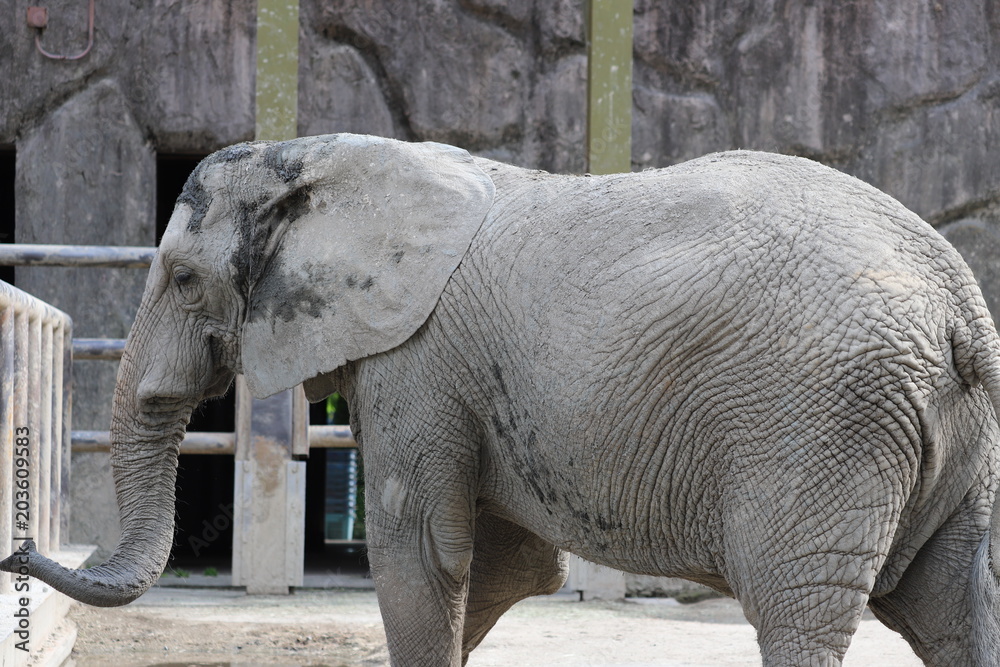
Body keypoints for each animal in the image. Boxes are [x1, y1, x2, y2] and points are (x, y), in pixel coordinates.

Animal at [4, 133, 1000, 666]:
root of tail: (959, 305)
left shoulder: (418, 361)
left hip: (825, 424)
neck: (332, 156)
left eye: (180, 277)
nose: (17, 550)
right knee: (954, 603)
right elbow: (506, 565)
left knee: (801, 608)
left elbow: (423, 552)